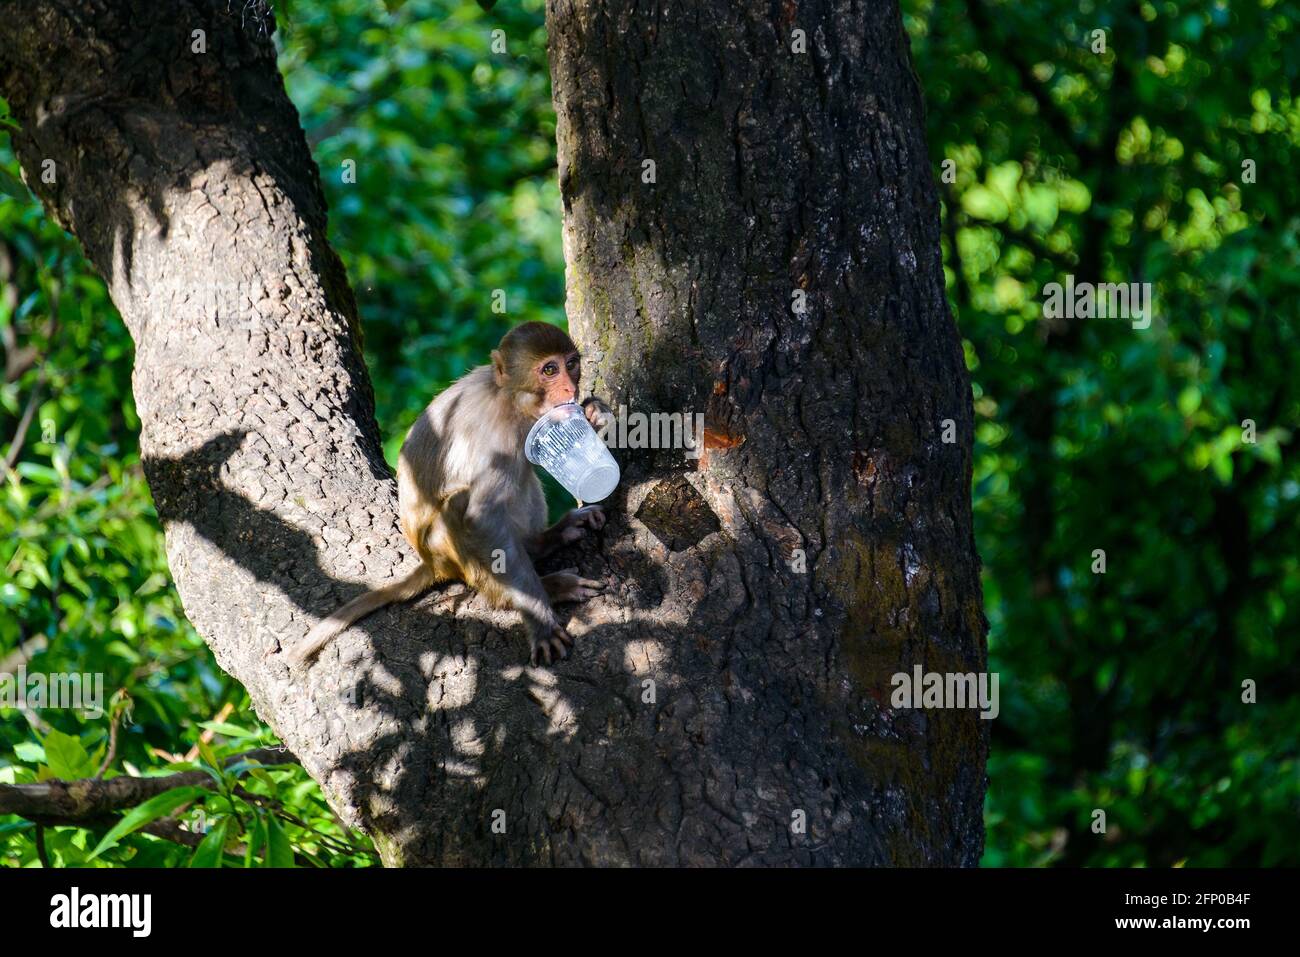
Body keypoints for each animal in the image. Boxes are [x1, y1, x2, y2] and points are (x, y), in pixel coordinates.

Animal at [284, 321, 608, 665]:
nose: (570, 390)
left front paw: (594, 412)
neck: (509, 399)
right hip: (443, 549)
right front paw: (541, 623)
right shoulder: (495, 439)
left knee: (523, 478)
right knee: (462, 504)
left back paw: (544, 541)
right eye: (549, 369)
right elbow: (481, 518)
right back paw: (539, 589)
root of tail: (431, 562)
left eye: (571, 364)